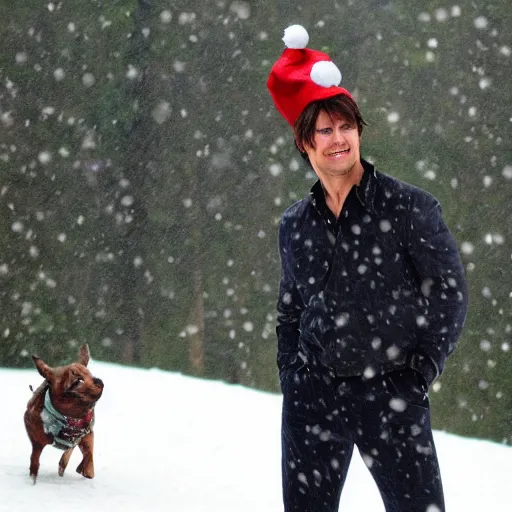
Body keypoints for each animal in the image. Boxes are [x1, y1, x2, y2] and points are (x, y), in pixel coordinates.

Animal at [24, 344, 104, 484]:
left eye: (90, 374)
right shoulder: (37, 440)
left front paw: (86, 470)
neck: (71, 418)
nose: (98, 380)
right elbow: (35, 460)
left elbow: (88, 455)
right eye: (77, 381)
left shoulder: (87, 433)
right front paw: (33, 479)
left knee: (69, 452)